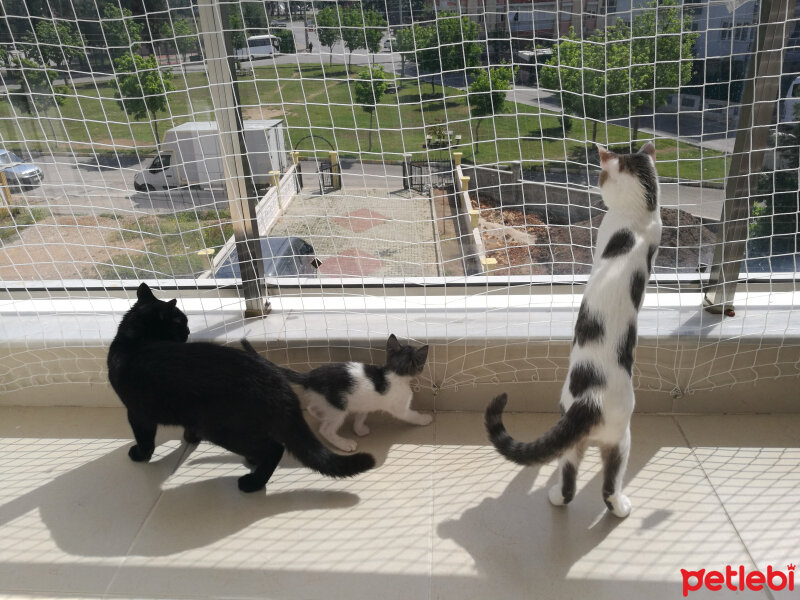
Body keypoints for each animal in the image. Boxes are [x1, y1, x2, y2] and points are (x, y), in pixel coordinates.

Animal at [105, 284, 376, 494]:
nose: (189, 331)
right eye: (182, 322)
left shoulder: (137, 412)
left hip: (223, 429)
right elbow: (186, 429)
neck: (134, 340)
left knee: (274, 448)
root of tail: (277, 382)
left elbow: (145, 438)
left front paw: (139, 455)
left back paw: (253, 483)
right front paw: (190, 438)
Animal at [241, 336, 432, 452]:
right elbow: (410, 415)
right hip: (338, 407)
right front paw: (424, 419)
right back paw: (344, 443)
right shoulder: (400, 407)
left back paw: (318, 414)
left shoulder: (363, 402)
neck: (394, 372)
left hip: (326, 400)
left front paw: (359, 429)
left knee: (312, 407)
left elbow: (361, 416)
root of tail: (310, 377)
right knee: (325, 429)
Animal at [484, 141, 660, 516]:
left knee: (591, 482)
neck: (637, 217)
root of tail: (589, 402)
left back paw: (602, 504)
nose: (598, 184)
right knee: (588, 483)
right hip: (605, 439)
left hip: (613, 437)